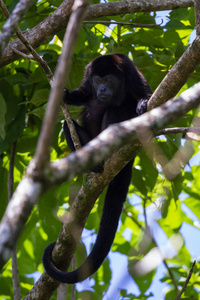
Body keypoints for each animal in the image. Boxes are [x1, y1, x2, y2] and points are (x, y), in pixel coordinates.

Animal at [42, 53, 152, 284]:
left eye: (108, 80)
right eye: (98, 81)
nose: (101, 89)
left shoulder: (130, 70)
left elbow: (143, 92)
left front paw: (143, 101)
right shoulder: (88, 72)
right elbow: (84, 94)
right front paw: (65, 94)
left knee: (114, 112)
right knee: (66, 125)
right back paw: (93, 162)